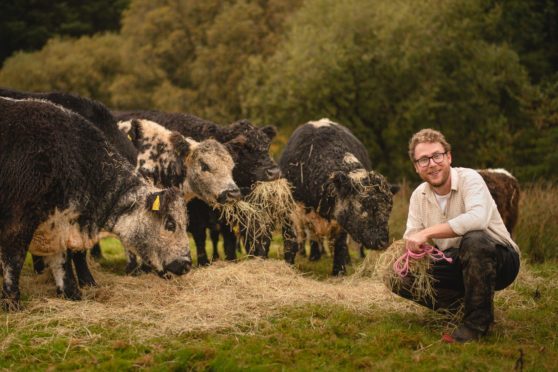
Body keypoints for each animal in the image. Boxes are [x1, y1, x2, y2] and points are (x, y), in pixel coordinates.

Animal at [0, 97, 194, 310]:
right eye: (170, 224)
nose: (187, 263)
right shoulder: (18, 222)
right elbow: (14, 261)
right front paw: (11, 302)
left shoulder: (58, 224)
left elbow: (62, 261)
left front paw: (71, 292)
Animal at [114, 109, 282, 264]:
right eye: (245, 148)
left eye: (267, 145)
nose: (274, 172)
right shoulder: (194, 213)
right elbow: (200, 236)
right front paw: (203, 261)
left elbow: (229, 239)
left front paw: (230, 259)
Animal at [280, 119, 394, 276]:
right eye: (365, 205)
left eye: (389, 208)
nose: (383, 241)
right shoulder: (290, 210)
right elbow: (290, 242)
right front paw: (289, 268)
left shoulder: (339, 219)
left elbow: (339, 244)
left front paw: (339, 271)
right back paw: (314, 257)